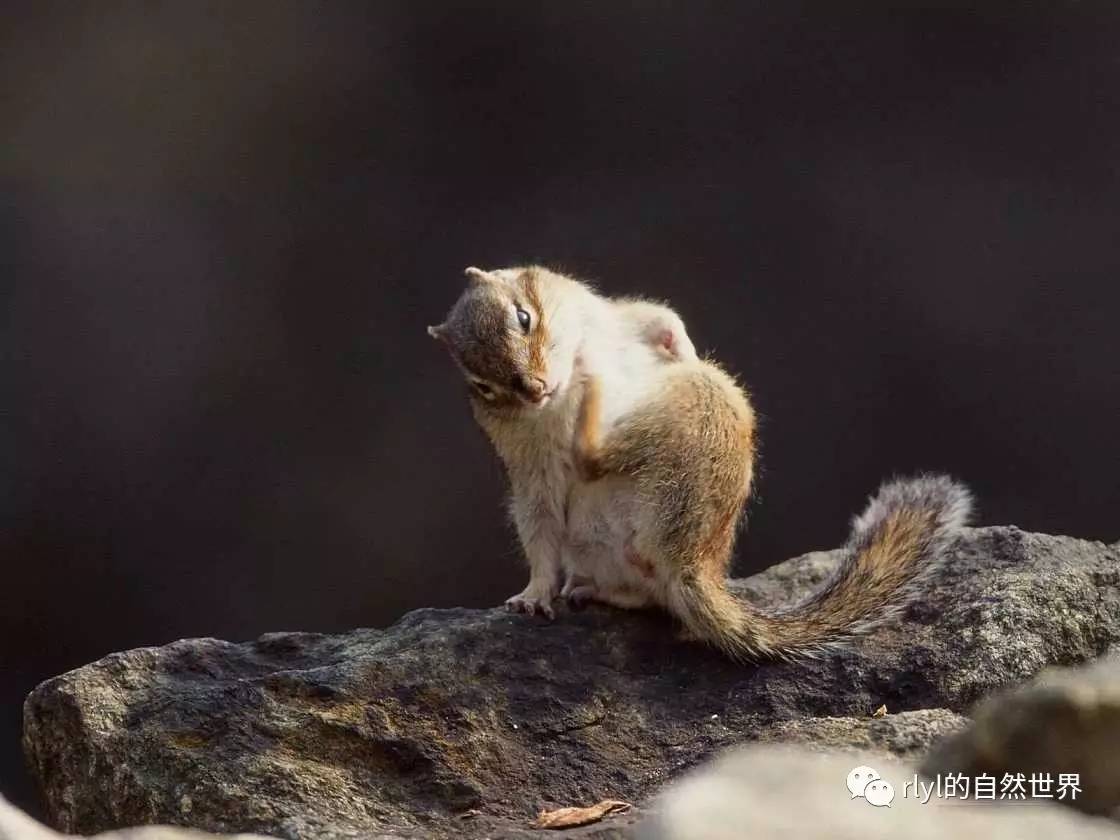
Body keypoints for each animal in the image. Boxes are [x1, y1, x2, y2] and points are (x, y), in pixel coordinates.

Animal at [427, 266, 972, 663]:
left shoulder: (617, 315)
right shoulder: (531, 466)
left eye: (523, 317)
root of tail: (693, 563)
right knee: (597, 481)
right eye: (482, 387)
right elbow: (537, 523)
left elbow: (660, 315)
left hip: (703, 398)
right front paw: (534, 594)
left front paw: (679, 345)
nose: (534, 389)